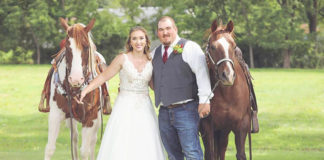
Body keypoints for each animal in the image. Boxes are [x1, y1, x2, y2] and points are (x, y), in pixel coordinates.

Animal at [200, 19, 253, 160]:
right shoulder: (208, 126)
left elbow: (241, 154)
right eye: (213, 47)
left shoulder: (241, 125)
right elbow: (210, 154)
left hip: (224, 130)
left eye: (233, 46)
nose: (228, 75)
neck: (227, 94)